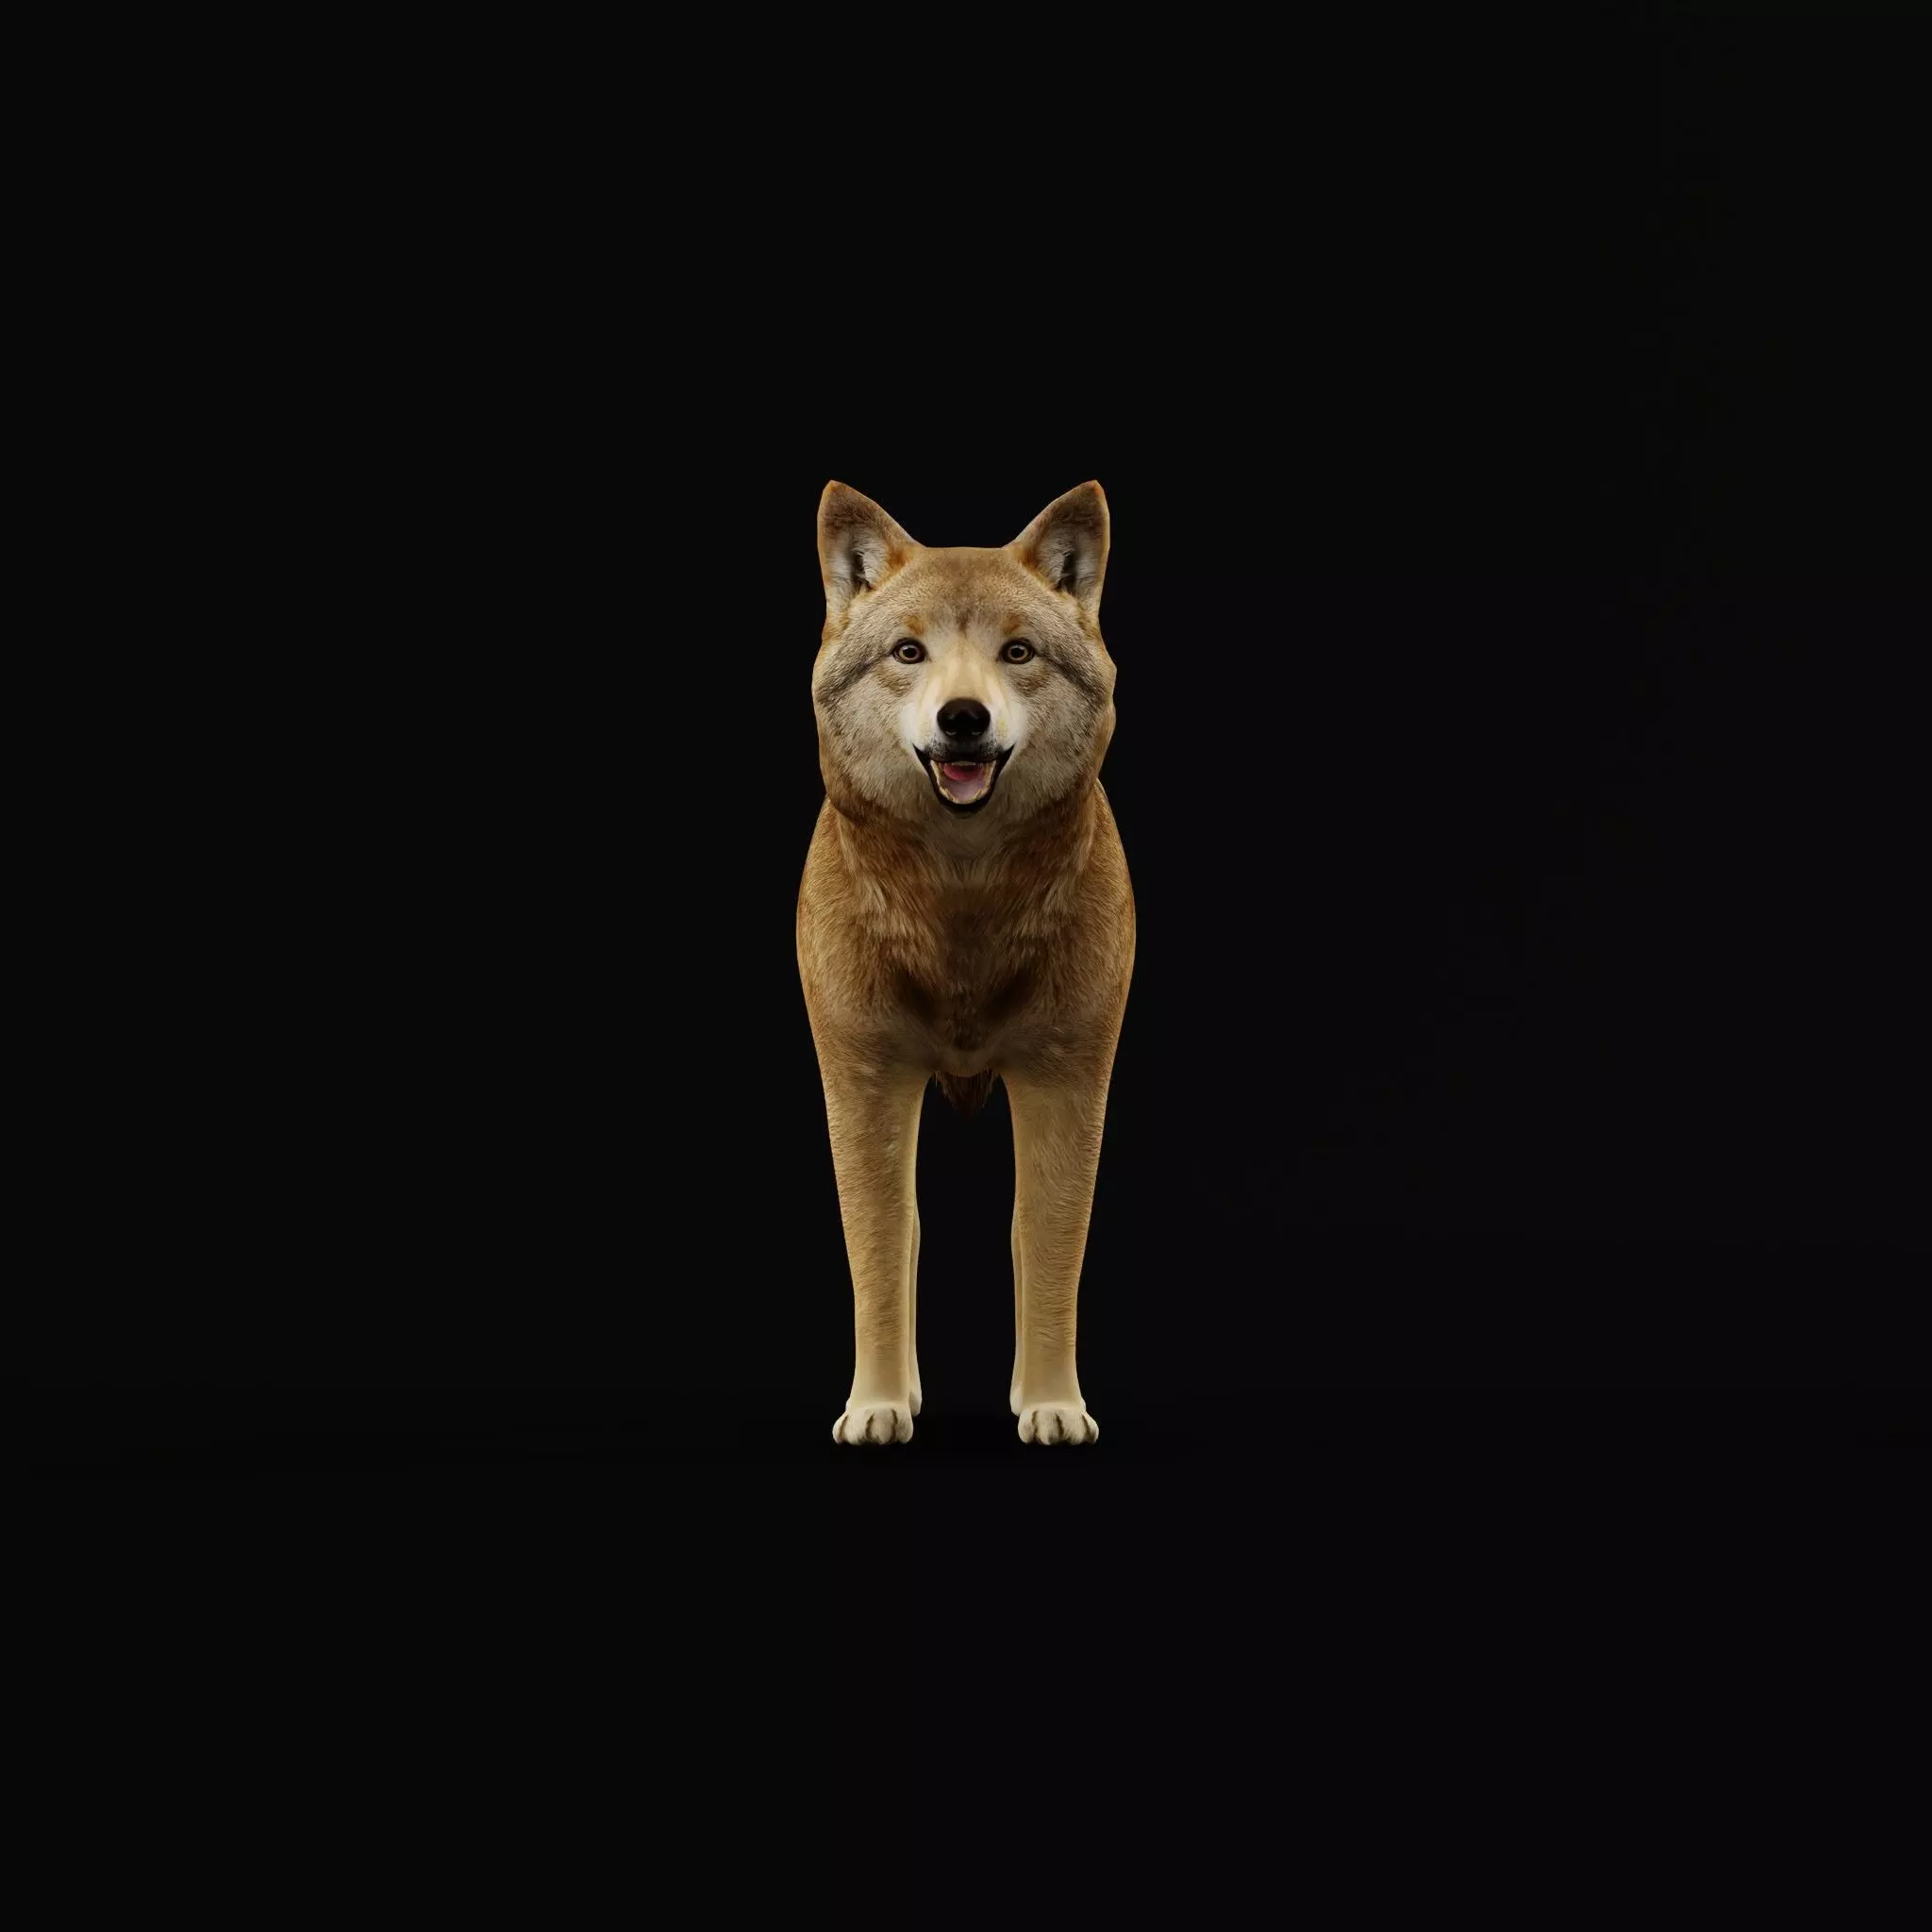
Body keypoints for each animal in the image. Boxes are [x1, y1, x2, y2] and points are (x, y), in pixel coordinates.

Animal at [797, 480, 1134, 1446]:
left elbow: (1046, 1247)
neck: (961, 902)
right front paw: (876, 1407)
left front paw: (1053, 1406)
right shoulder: (864, 1082)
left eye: (1016, 652)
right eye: (909, 652)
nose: (962, 718)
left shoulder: (1068, 1080)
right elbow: (882, 1254)